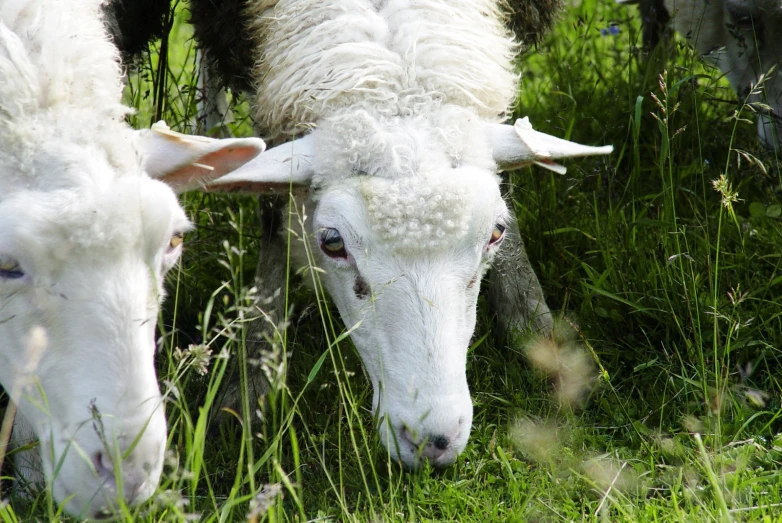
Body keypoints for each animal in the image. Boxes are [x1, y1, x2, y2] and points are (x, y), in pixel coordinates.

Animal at [182, 0, 612, 470]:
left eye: (496, 233)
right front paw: (251, 376)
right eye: (332, 243)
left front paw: (532, 323)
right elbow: (274, 219)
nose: (433, 442)